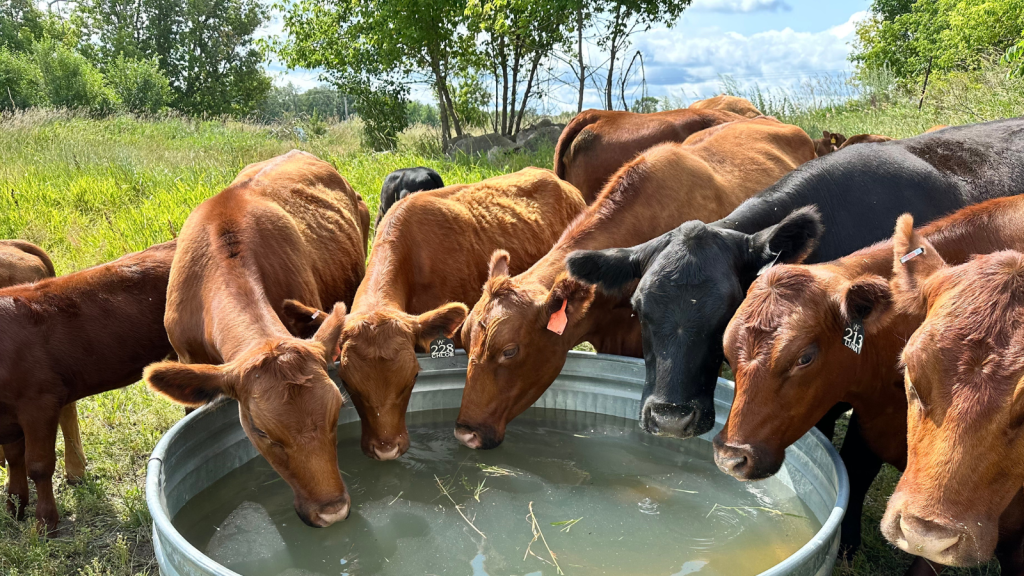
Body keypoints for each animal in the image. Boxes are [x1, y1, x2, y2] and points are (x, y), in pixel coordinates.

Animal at [0, 240, 176, 531]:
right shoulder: (9, 414)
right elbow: (15, 458)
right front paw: (14, 506)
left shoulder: (40, 403)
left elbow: (38, 464)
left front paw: (45, 522)